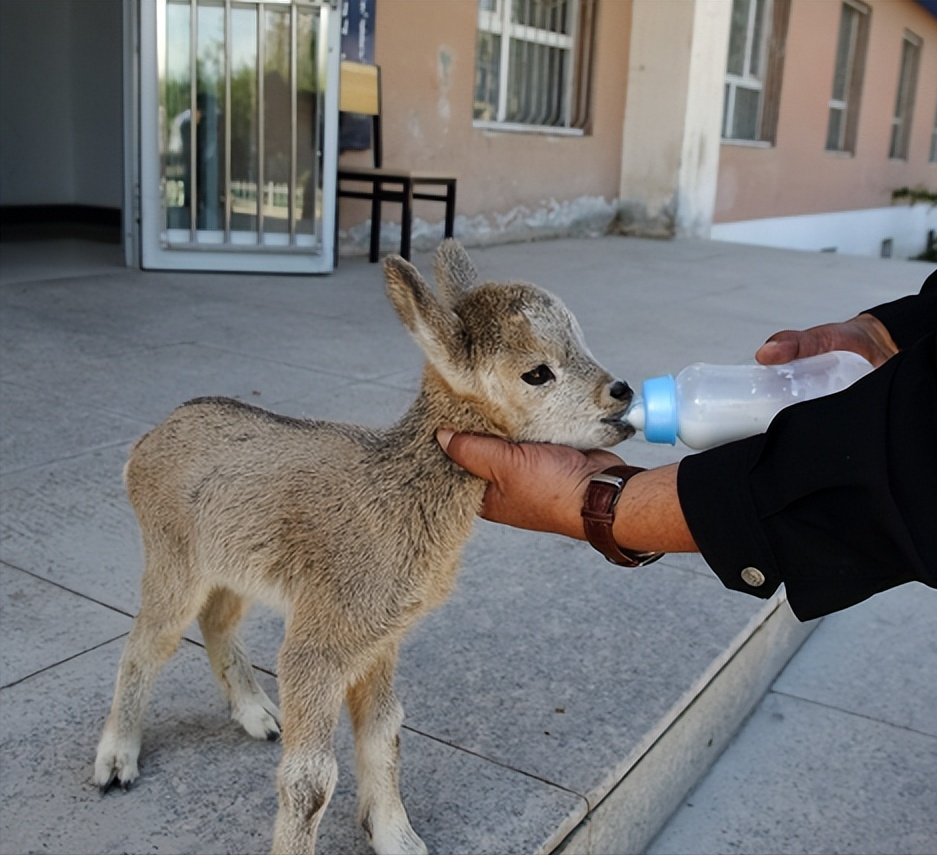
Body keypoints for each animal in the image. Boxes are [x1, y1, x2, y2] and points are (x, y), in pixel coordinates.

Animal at [93, 241, 636, 855]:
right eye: (537, 372)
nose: (622, 392)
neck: (393, 494)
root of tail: (145, 444)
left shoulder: (378, 638)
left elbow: (384, 732)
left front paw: (398, 837)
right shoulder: (322, 637)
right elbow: (310, 779)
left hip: (232, 564)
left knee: (218, 618)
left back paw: (257, 714)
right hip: (172, 552)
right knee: (148, 640)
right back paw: (116, 762)